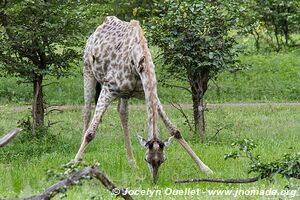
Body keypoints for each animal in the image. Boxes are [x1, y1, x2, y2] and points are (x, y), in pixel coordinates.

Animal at [74, 16, 212, 183]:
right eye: (147, 159)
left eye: (163, 160)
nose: (154, 180)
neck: (137, 60)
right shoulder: (108, 90)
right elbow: (90, 133)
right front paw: (72, 166)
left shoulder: (149, 93)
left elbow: (175, 130)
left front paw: (205, 168)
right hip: (88, 70)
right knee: (86, 110)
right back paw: (80, 159)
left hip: (124, 94)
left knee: (123, 113)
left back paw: (132, 163)